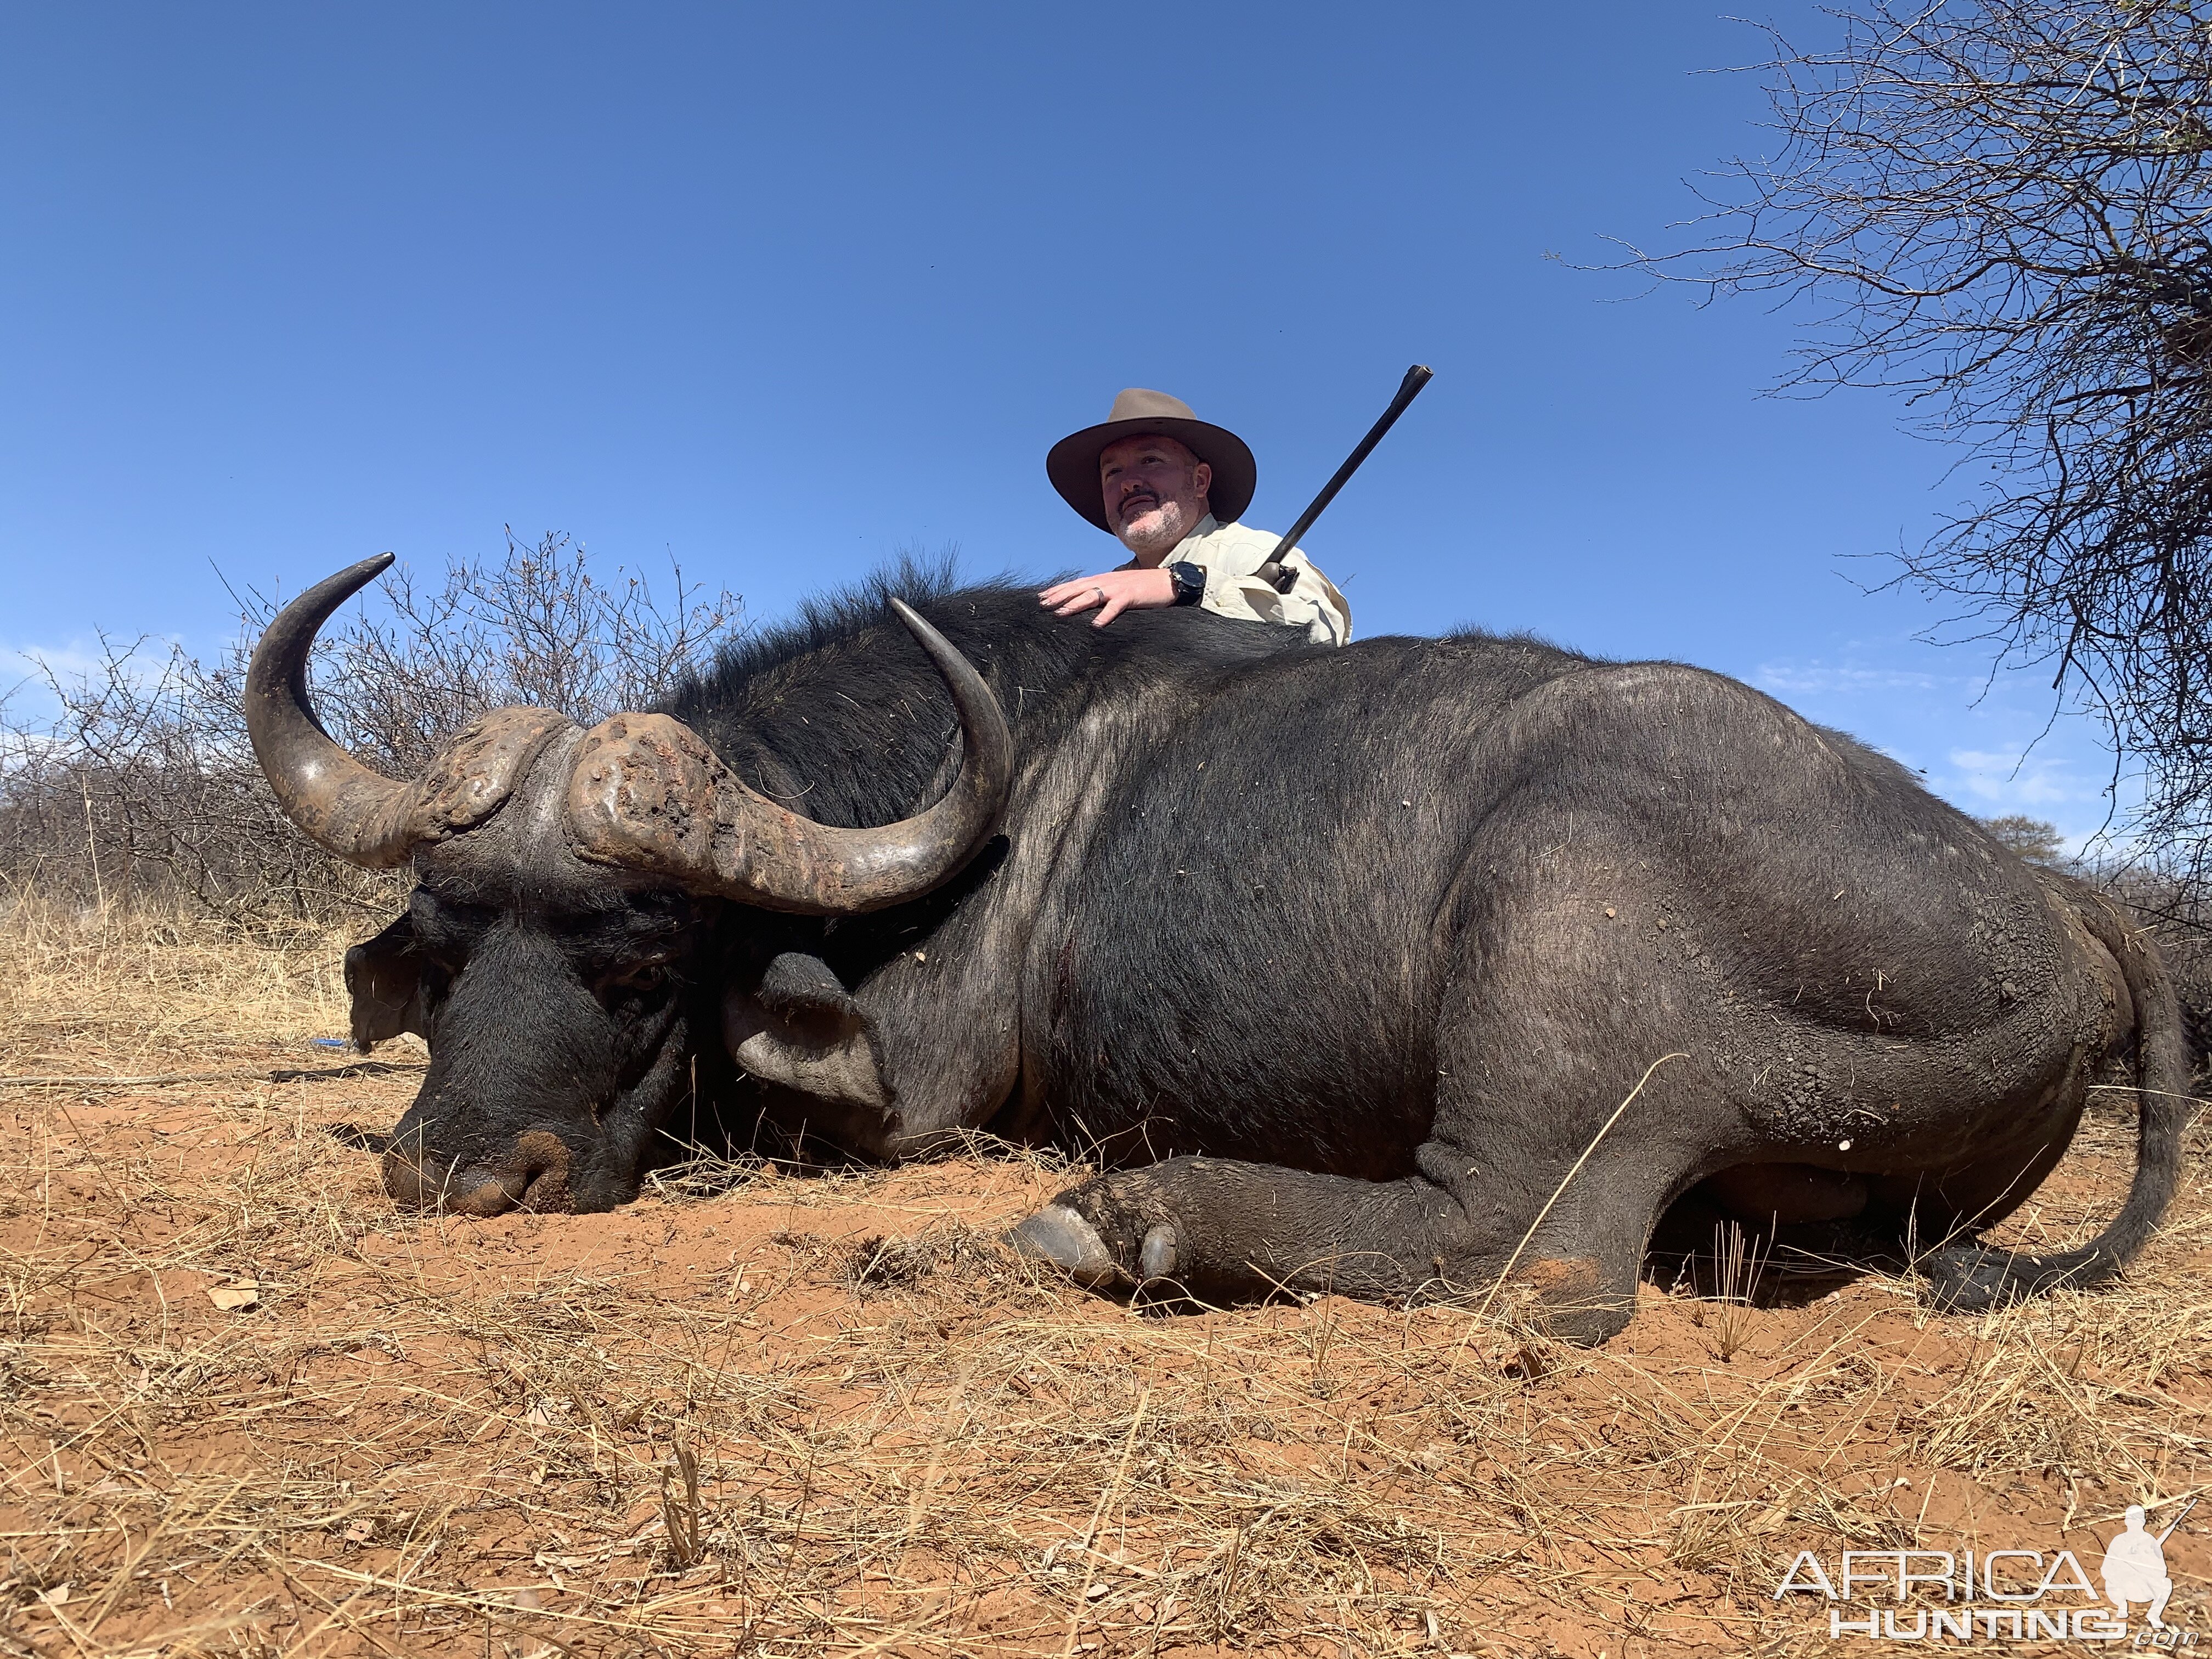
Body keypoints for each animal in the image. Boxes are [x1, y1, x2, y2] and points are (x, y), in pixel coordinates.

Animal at [251, 560, 2185, 1353]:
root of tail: (2059, 909)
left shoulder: (920, 1102)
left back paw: (1128, 1221)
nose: (456, 1173)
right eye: (448, 945)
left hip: (1555, 914)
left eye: (646, 954)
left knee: (1532, 1258)